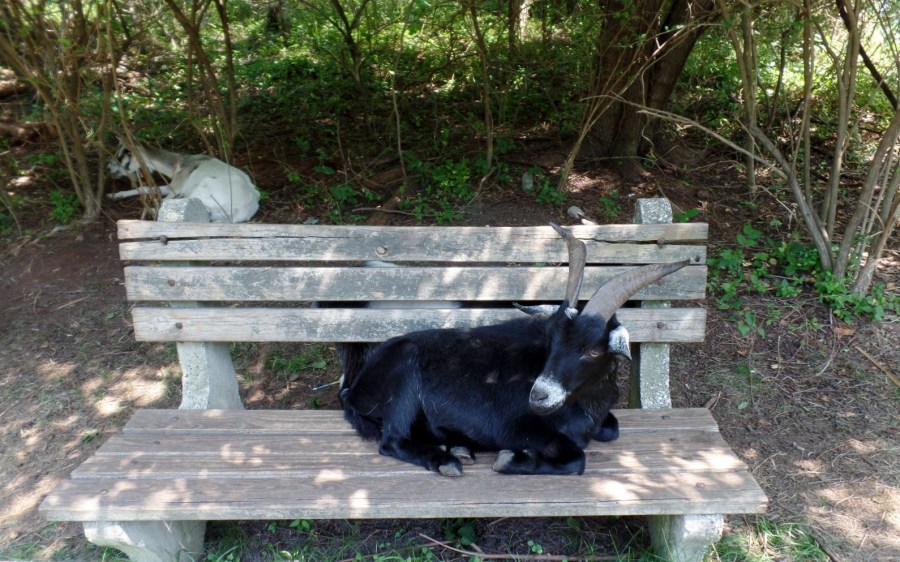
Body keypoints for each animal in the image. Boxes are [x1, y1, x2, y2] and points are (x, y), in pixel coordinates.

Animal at [107, 143, 260, 223]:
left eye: (122, 155)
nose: (108, 168)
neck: (178, 164)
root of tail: (243, 209)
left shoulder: (176, 187)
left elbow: (162, 198)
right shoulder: (172, 186)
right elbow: (147, 187)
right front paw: (114, 195)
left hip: (201, 189)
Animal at [339, 224, 689, 476]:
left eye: (592, 350)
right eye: (550, 338)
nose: (539, 396)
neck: (585, 404)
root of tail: (357, 388)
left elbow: (612, 430)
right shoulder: (515, 427)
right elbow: (577, 458)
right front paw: (510, 459)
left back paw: (456, 446)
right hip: (404, 376)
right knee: (392, 440)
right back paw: (447, 460)